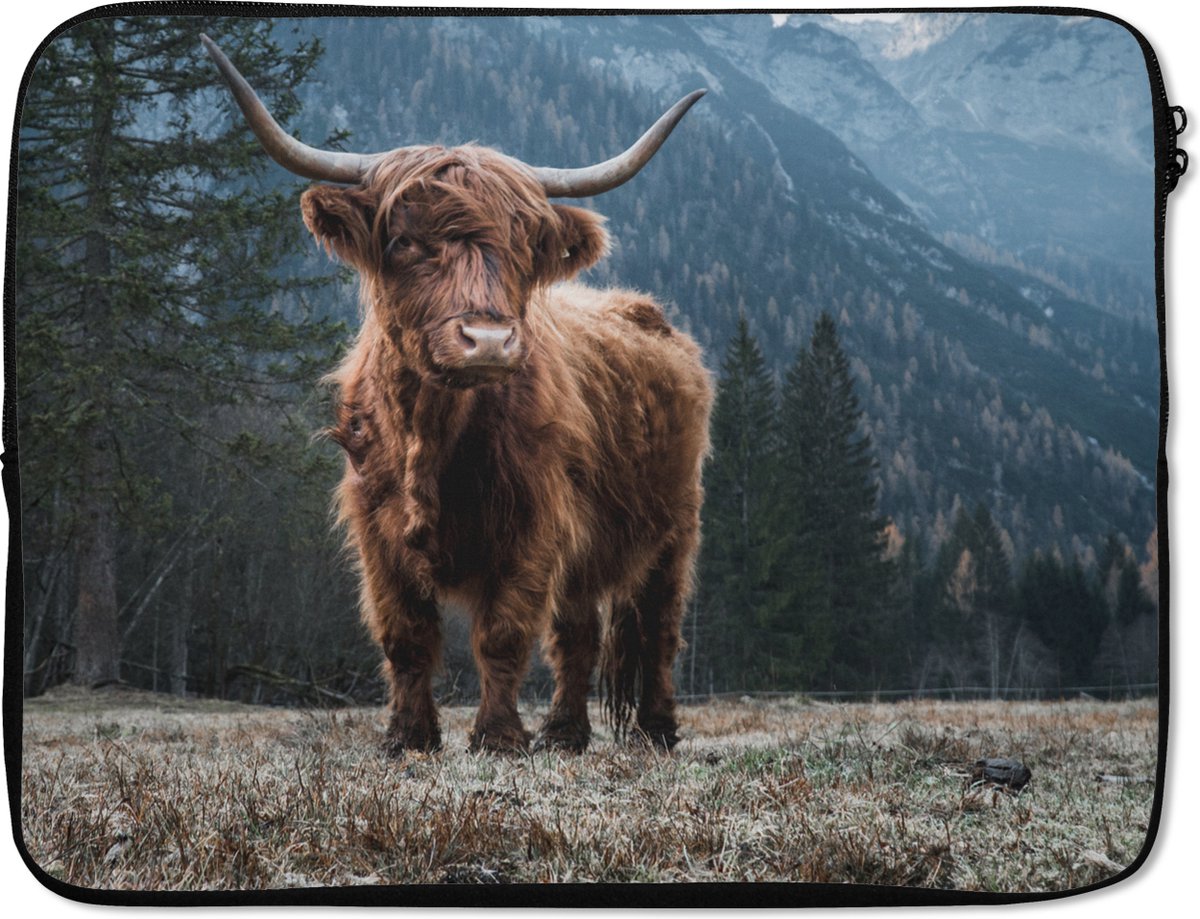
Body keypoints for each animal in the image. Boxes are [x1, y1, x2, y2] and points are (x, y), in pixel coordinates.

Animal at [202, 36, 712, 755]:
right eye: (403, 240)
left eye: (524, 247)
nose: (489, 340)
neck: (432, 434)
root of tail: (645, 311)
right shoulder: (376, 529)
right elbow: (405, 635)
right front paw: (408, 736)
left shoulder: (534, 524)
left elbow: (502, 634)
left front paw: (497, 737)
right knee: (578, 633)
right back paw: (564, 732)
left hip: (675, 525)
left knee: (659, 627)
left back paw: (657, 730)